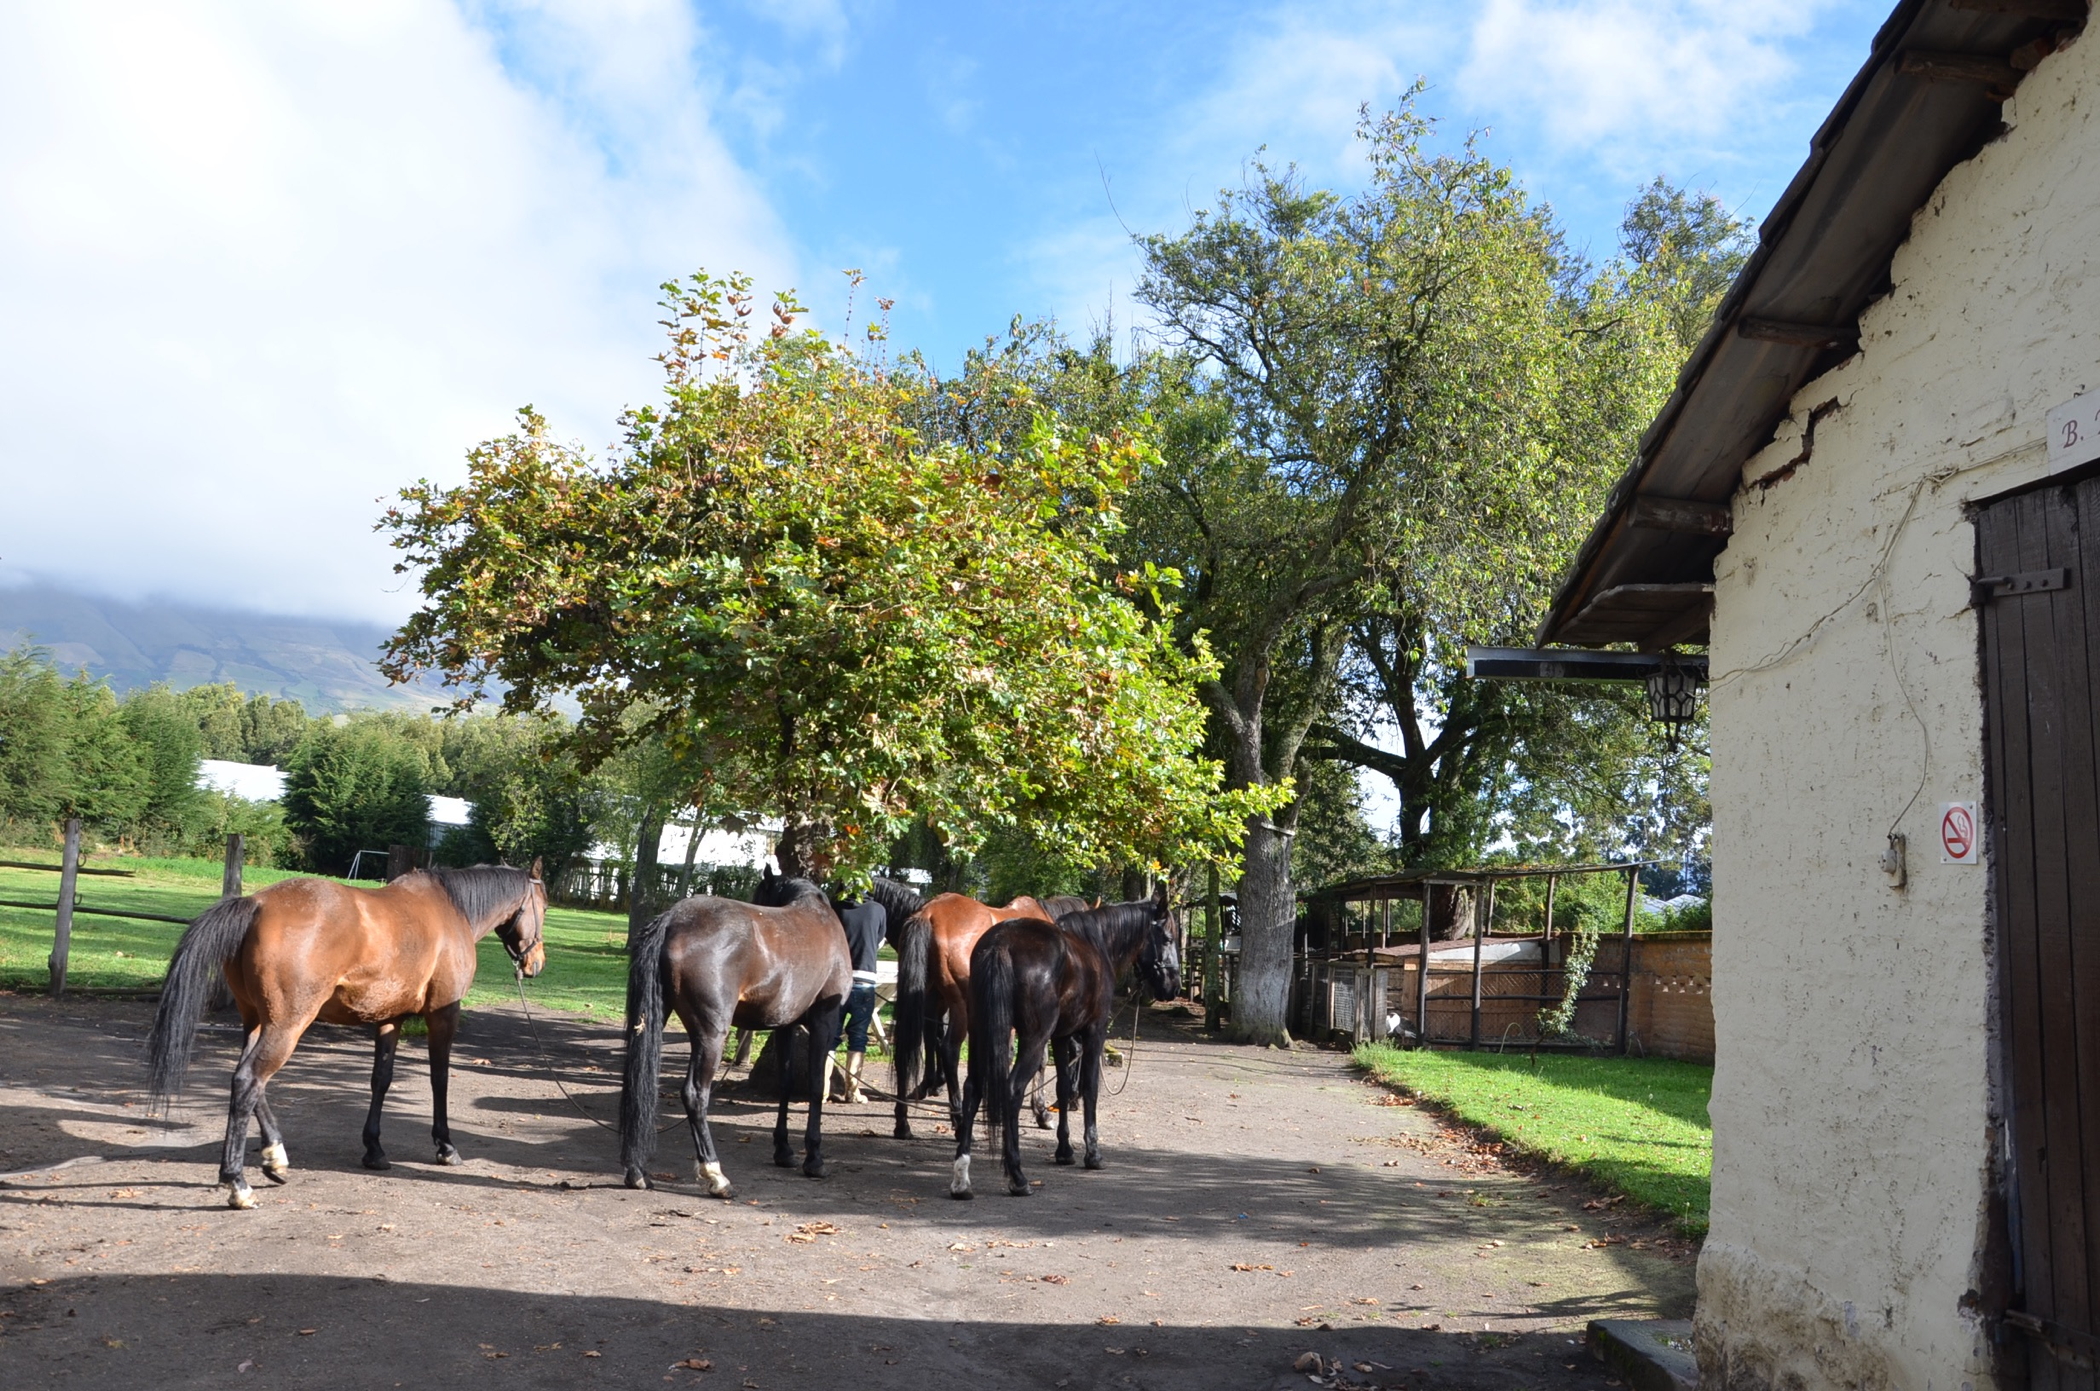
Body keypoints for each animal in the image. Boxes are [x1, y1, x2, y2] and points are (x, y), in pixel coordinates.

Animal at [147, 865, 550, 1218]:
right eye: (544, 907)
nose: (537, 963)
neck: (451, 909)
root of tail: (256, 903)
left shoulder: (389, 1019)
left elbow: (380, 1080)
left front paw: (374, 1149)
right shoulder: (442, 1015)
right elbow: (439, 1079)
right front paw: (445, 1146)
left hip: (257, 1022)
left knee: (247, 1081)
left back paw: (275, 1158)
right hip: (287, 1025)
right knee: (249, 1081)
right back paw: (238, 1184)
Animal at [617, 874, 848, 1201]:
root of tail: (673, 919)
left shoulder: (785, 1026)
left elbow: (787, 1084)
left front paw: (784, 1151)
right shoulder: (824, 1021)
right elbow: (816, 1087)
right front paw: (814, 1159)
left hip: (652, 1019)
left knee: (637, 1082)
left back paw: (637, 1172)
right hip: (712, 1035)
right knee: (695, 1094)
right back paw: (716, 1176)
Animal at [953, 895, 1184, 1201]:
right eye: (1168, 938)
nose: (1173, 987)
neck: (1097, 943)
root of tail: (1001, 942)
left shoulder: (1061, 1037)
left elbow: (1063, 1088)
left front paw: (1064, 1150)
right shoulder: (1094, 1031)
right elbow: (1089, 1088)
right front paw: (1093, 1154)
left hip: (982, 1032)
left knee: (972, 1089)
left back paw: (961, 1178)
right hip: (1033, 1039)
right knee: (1012, 1089)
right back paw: (1017, 1177)